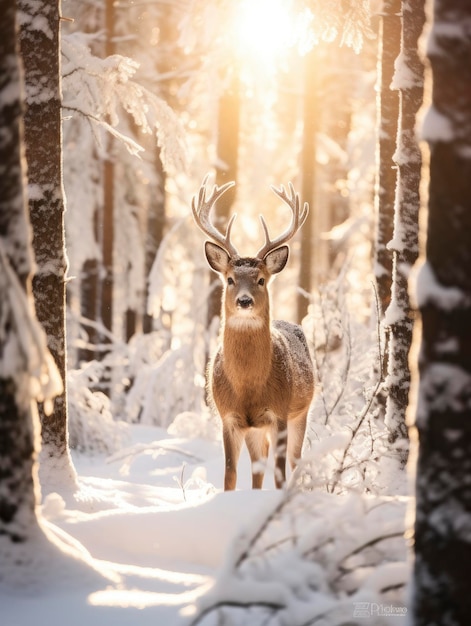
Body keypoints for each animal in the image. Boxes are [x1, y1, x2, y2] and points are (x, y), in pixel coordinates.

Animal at [192, 173, 314, 490]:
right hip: (256, 430)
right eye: (230, 279)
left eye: (261, 279)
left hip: (300, 413)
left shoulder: (279, 412)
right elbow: (230, 474)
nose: (244, 301)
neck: (248, 387)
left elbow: (280, 473)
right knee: (258, 471)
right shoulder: (229, 417)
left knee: (295, 462)